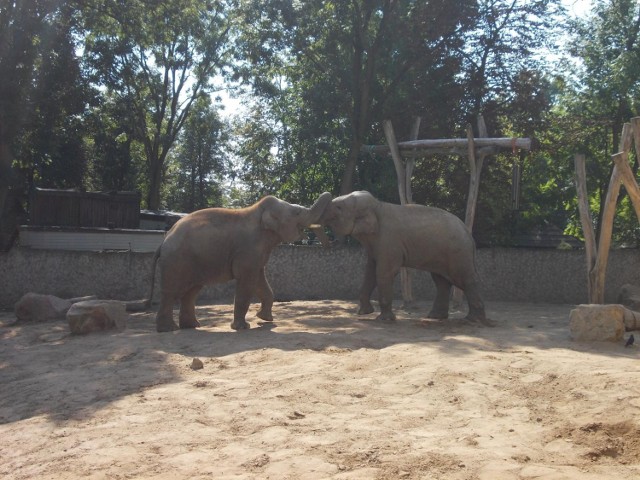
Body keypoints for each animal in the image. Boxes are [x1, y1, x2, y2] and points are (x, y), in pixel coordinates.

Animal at [147, 193, 332, 332]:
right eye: (297, 212)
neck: (259, 212)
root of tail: (164, 241)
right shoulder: (248, 249)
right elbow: (247, 281)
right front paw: (243, 327)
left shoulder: (258, 252)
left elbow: (260, 282)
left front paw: (265, 319)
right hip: (177, 260)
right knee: (172, 292)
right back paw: (168, 329)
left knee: (191, 292)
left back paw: (192, 326)